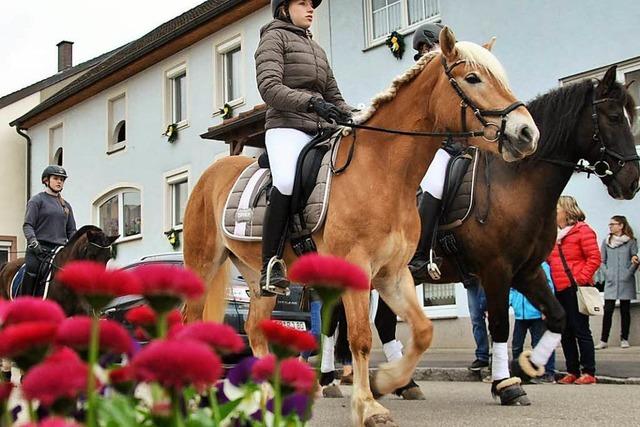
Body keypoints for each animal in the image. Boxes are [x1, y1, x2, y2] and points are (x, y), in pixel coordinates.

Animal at [182, 28, 536, 426]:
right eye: (473, 78)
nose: (527, 132)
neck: (383, 172)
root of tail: (211, 174)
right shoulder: (356, 270)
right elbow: (361, 338)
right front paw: (368, 405)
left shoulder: (393, 274)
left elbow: (423, 331)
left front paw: (387, 383)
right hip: (203, 264)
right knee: (190, 322)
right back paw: (193, 397)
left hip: (259, 278)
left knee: (255, 329)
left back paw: (265, 396)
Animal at [424, 65, 640, 402]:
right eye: (615, 117)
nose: (632, 181)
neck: (515, 183)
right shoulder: (496, 269)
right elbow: (500, 325)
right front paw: (506, 384)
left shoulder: (527, 270)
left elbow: (559, 317)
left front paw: (526, 366)